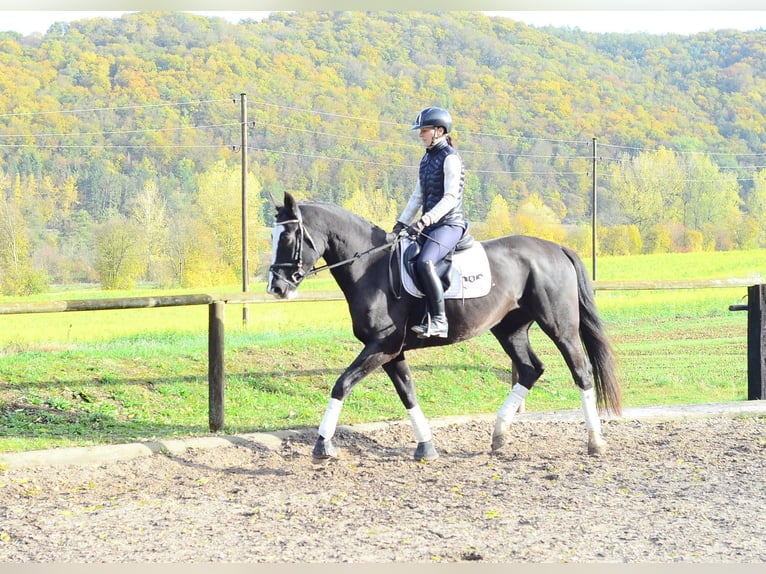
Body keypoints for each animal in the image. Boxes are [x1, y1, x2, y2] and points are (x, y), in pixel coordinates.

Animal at [267, 192, 622, 462]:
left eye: (289, 236)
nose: (277, 287)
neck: (372, 268)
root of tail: (556, 248)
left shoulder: (381, 346)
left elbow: (341, 385)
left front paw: (322, 445)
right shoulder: (391, 352)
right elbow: (408, 394)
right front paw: (426, 447)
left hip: (559, 326)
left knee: (581, 371)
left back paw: (595, 441)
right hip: (509, 329)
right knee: (530, 369)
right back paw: (499, 436)